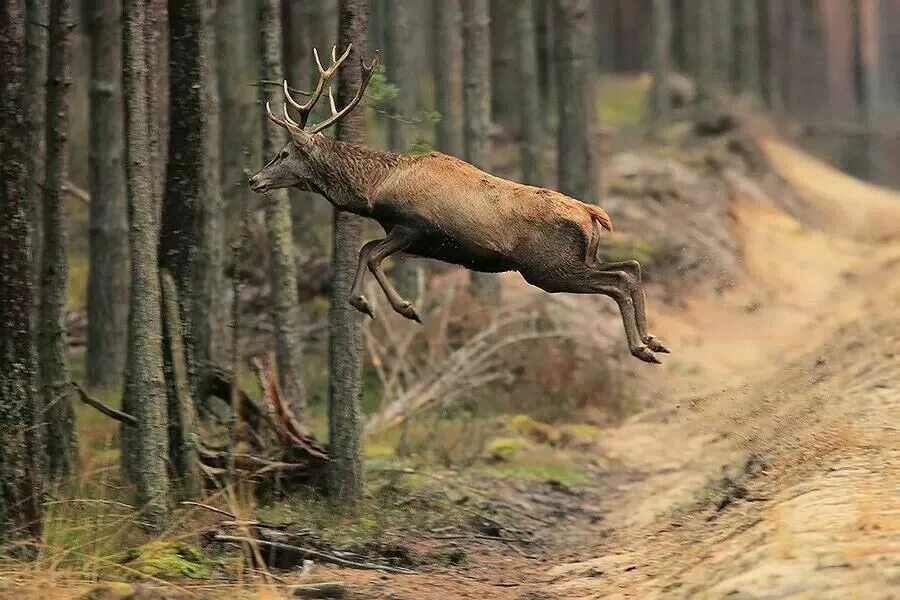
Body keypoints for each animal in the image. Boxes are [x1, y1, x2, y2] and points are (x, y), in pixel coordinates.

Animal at [246, 44, 668, 364]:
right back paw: (653, 341)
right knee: (630, 267)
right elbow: (367, 250)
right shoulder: (418, 242)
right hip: (580, 258)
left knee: (616, 281)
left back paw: (641, 348)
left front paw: (402, 307)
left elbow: (371, 253)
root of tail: (592, 214)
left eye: (283, 153)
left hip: (549, 268)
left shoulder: (414, 227)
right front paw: (367, 302)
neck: (374, 190)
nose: (253, 180)